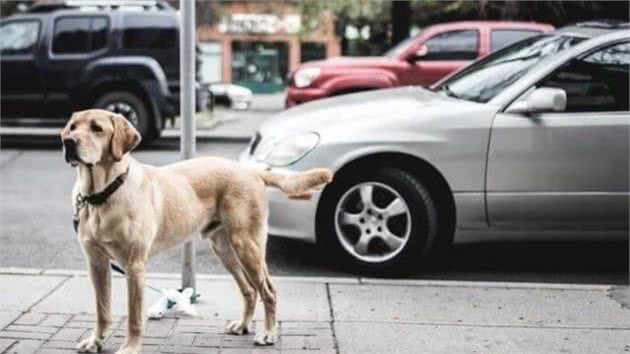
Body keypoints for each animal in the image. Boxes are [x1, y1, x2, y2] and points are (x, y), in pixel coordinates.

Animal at [61, 109, 334, 352]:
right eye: (73, 127)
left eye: (97, 128)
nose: (68, 142)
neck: (102, 194)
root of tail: (251, 171)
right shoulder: (96, 263)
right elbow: (102, 310)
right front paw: (95, 341)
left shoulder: (134, 265)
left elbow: (134, 316)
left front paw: (130, 348)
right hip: (225, 249)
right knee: (249, 290)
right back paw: (243, 325)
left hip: (248, 244)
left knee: (268, 290)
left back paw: (267, 333)